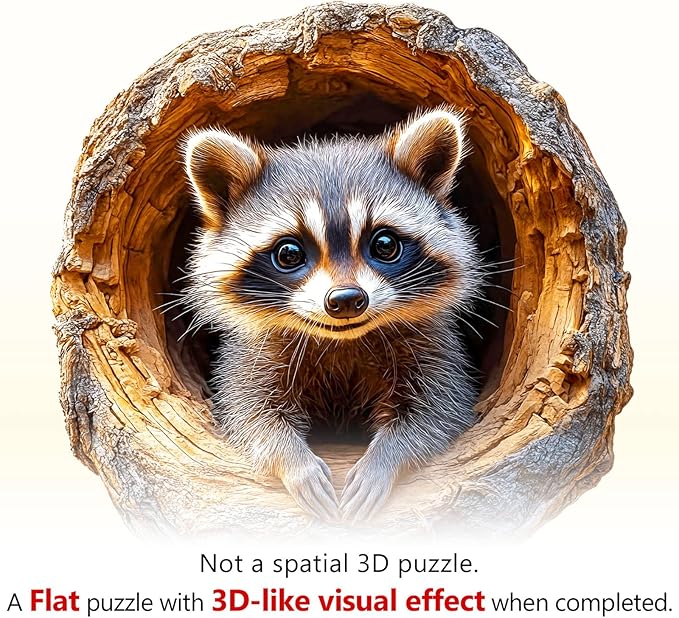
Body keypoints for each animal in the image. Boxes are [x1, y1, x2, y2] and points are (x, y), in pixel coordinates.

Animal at [180, 107, 484, 522]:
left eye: (384, 244)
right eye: (289, 253)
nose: (346, 299)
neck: (340, 339)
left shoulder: (434, 348)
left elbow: (436, 412)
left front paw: (384, 460)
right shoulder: (250, 355)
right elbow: (250, 414)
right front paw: (293, 462)